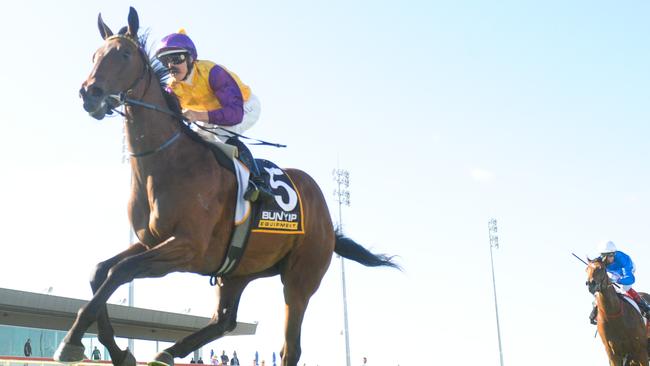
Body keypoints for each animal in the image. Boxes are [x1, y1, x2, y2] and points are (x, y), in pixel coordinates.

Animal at [55, 7, 398, 366]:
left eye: (123, 54)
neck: (166, 163)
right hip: (238, 269)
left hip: (300, 277)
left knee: (290, 347)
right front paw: (119, 351)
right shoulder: (153, 241)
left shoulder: (187, 247)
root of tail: (327, 218)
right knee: (224, 320)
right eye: (94, 55)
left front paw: (72, 341)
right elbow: (100, 272)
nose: (89, 94)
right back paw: (166, 352)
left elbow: (119, 272)